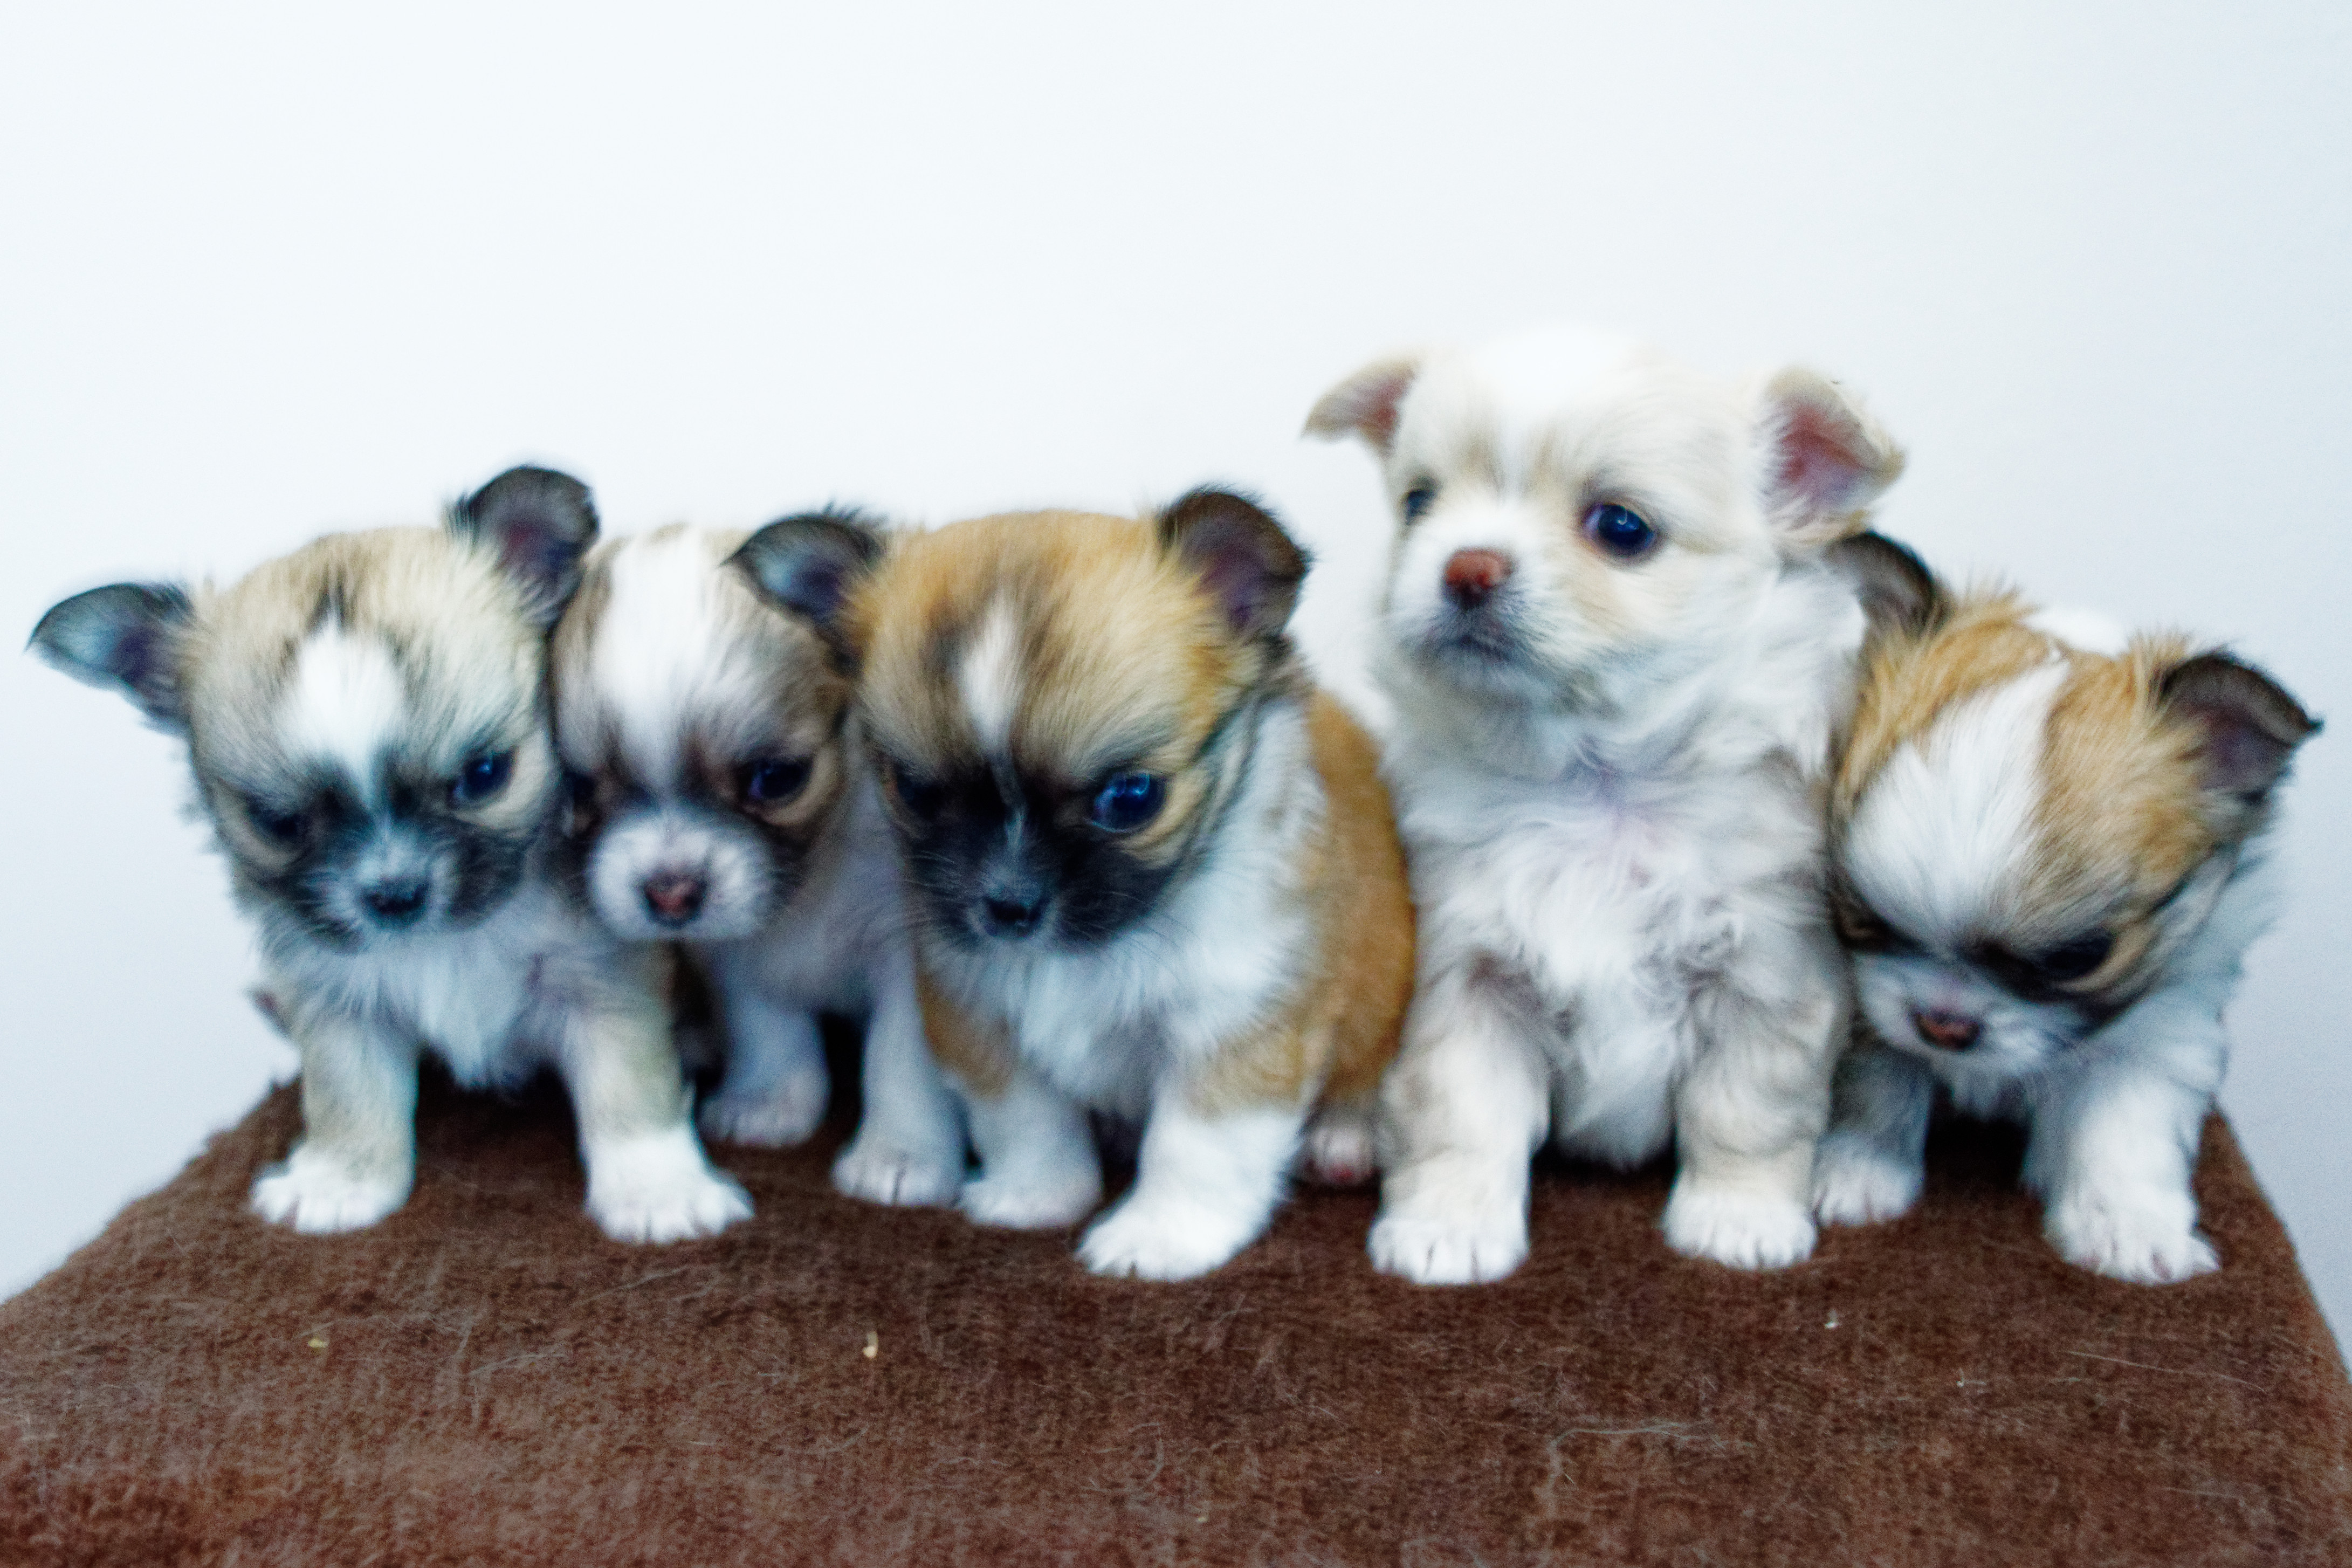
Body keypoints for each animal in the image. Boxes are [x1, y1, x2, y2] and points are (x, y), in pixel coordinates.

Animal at [37, 465, 752, 1241]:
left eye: (484, 775)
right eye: (278, 822)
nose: (394, 894)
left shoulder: (603, 981)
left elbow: (630, 1089)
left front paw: (658, 1190)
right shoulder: (338, 1001)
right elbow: (349, 1094)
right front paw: (341, 1181)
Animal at [545, 521, 959, 1213]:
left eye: (775, 778)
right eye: (576, 790)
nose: (671, 894)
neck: (815, 877)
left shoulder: (909, 962)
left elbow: (899, 1060)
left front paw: (901, 1155)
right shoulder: (737, 961)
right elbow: (769, 1031)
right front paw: (769, 1103)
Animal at [743, 496, 1411, 1278]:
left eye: (1131, 797)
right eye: (913, 790)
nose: (1008, 906)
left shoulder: (1233, 1022)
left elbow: (1197, 1147)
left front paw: (1159, 1236)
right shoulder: (977, 1011)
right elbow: (1027, 1120)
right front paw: (1036, 1197)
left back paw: (1343, 1138)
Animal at [1317, 324, 1900, 1278]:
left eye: (1622, 529)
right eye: (1418, 505)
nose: (1464, 566)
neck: (1597, 783)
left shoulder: (1768, 977)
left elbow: (1745, 1112)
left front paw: (1737, 1219)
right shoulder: (1463, 979)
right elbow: (1458, 1116)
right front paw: (1448, 1228)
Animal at [1815, 533, 2314, 1278]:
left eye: (2078, 957)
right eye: (1860, 914)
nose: (1944, 1025)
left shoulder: (2161, 1023)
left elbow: (2124, 1124)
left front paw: (2132, 1229)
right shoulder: (1868, 1005)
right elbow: (1880, 1080)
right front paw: (1857, 1172)